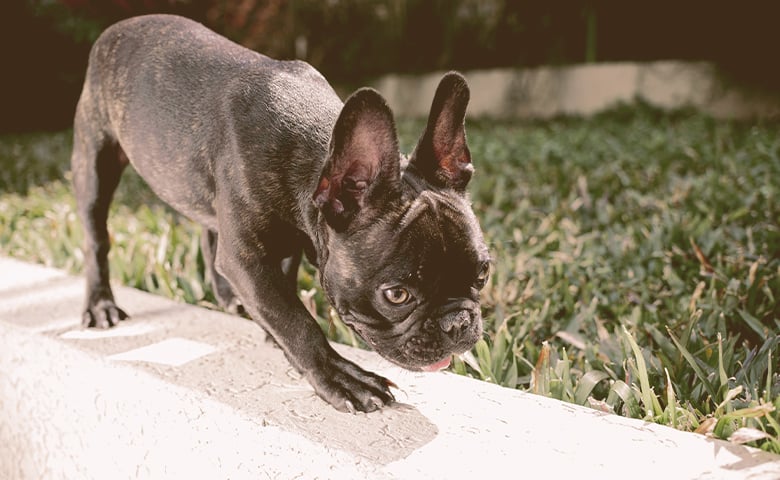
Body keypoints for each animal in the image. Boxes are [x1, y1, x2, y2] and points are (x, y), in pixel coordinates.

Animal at [73, 15, 488, 412]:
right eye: (397, 295)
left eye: (482, 274)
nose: (458, 322)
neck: (318, 154)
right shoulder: (247, 260)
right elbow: (296, 321)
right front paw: (339, 376)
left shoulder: (285, 246)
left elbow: (281, 297)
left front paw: (271, 332)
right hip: (94, 163)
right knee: (96, 238)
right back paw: (101, 305)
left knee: (209, 230)